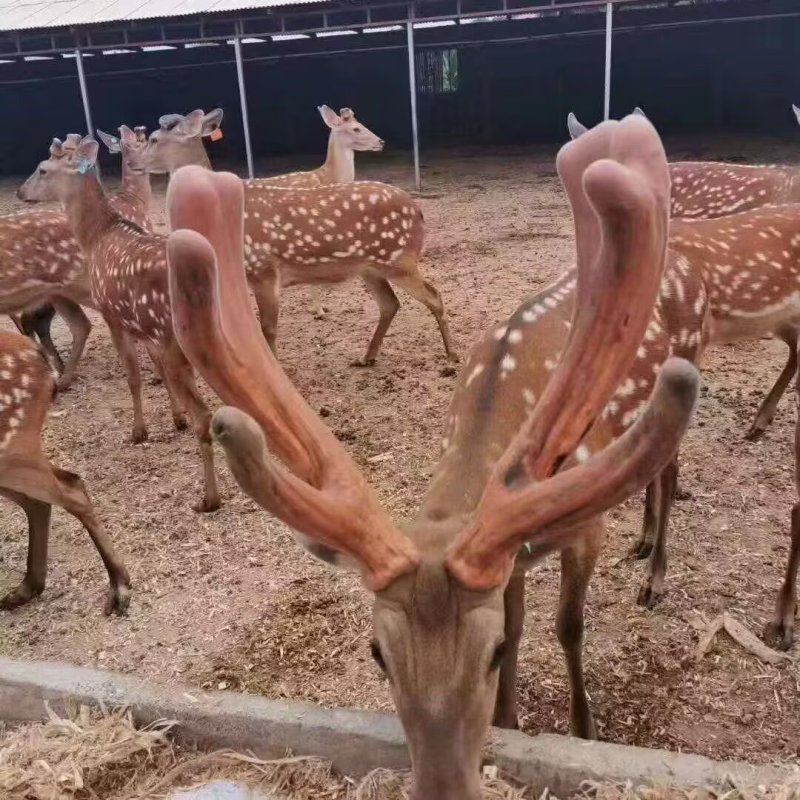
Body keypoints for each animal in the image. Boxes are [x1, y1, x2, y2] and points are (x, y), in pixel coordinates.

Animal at [0, 329, 130, 614]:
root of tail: (36, 353)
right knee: (49, 494)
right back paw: (25, 589)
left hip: (11, 449)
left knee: (70, 488)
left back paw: (119, 586)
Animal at [18, 130, 219, 512]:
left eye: (42, 168)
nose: (21, 192)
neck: (97, 237)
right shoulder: (143, 327)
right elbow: (155, 370)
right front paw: (176, 418)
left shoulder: (113, 314)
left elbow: (133, 376)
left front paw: (139, 431)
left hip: (176, 339)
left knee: (207, 415)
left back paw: (209, 498)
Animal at [143, 108, 457, 366]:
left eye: (154, 138)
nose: (137, 163)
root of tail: (418, 211)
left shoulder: (263, 269)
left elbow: (268, 329)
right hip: (370, 267)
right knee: (390, 304)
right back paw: (366, 358)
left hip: (400, 259)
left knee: (434, 295)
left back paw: (451, 355)